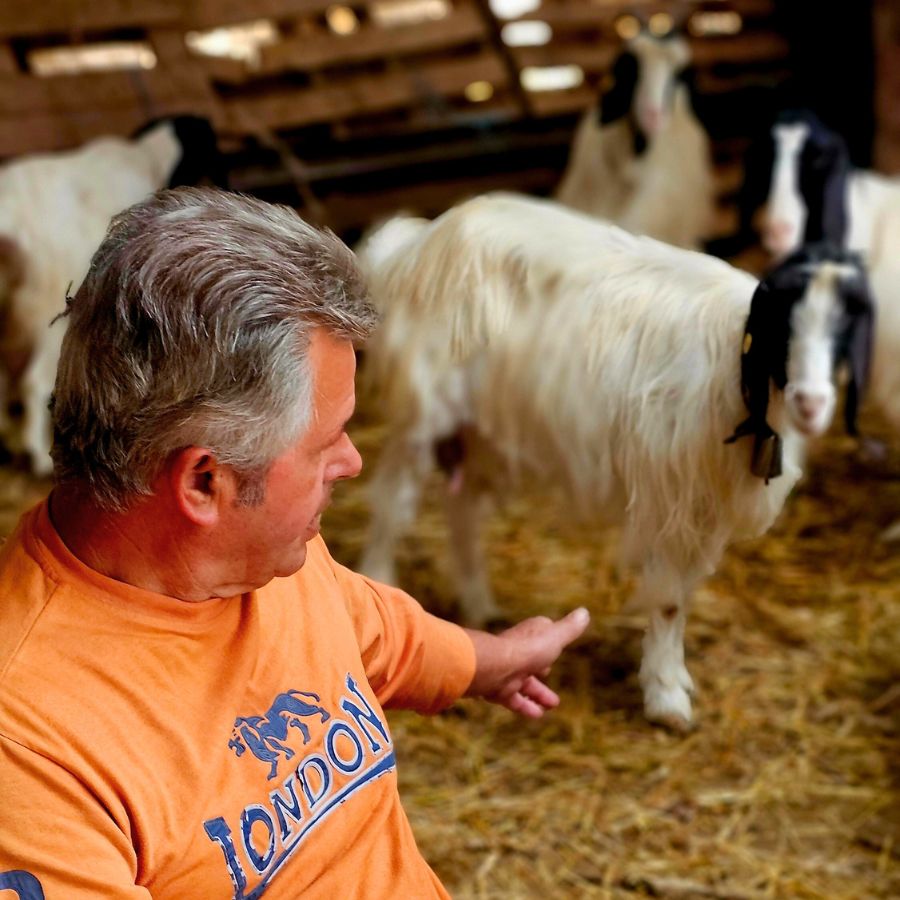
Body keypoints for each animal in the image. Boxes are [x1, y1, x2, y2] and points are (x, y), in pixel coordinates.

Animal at [358, 193, 874, 730]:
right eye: (781, 323)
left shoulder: (703, 507)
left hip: (485, 429)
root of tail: (418, 242)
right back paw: (384, 583)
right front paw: (666, 699)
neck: (737, 370)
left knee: (463, 511)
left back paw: (480, 607)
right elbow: (667, 600)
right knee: (393, 505)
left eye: (848, 322)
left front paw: (672, 677)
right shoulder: (671, 495)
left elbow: (683, 595)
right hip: (424, 413)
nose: (811, 402)